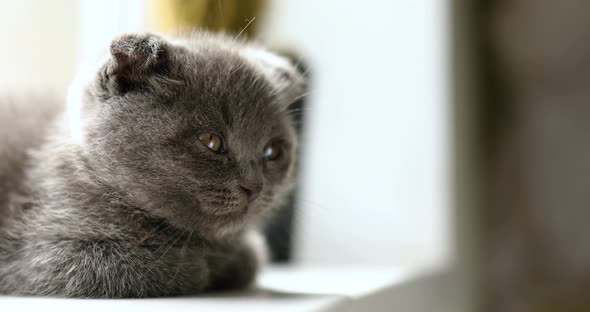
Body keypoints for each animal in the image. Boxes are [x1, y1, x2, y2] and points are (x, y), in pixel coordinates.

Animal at [0, 32, 306, 298]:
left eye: (273, 151)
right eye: (211, 140)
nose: (255, 187)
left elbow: (251, 257)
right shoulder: (40, 256)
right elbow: (163, 268)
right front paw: (205, 264)